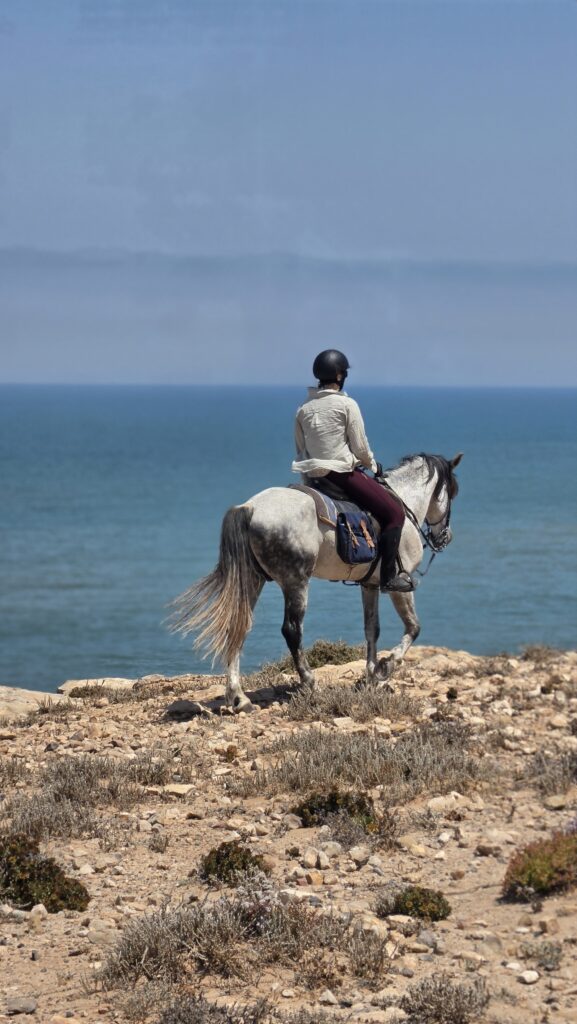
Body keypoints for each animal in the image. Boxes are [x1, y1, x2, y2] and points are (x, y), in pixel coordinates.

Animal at [171, 452, 463, 712]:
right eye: (453, 491)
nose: (445, 537)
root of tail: (249, 508)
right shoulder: (398, 585)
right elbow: (413, 627)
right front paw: (385, 668)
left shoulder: (369, 585)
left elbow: (372, 629)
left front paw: (370, 676)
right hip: (296, 581)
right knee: (292, 631)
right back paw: (309, 683)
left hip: (253, 580)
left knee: (238, 626)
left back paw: (239, 698)